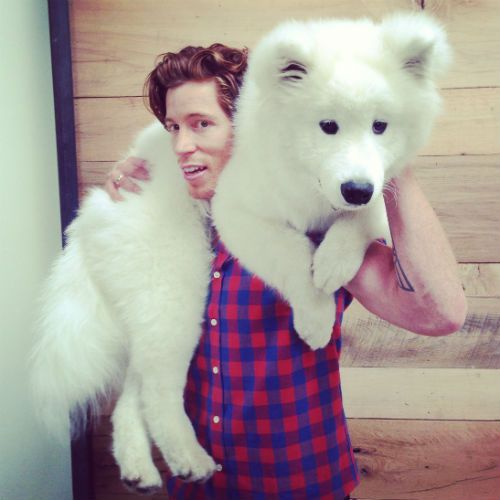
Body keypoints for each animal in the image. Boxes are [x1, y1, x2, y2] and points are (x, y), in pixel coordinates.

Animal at [32, 10, 454, 492]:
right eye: (328, 126)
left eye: (380, 126)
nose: (355, 187)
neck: (303, 178)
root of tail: (89, 217)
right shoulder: (238, 211)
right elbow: (292, 253)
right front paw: (314, 316)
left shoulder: (381, 195)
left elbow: (363, 216)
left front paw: (333, 262)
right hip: (174, 287)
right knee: (157, 390)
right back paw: (191, 460)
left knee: (132, 392)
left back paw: (140, 467)